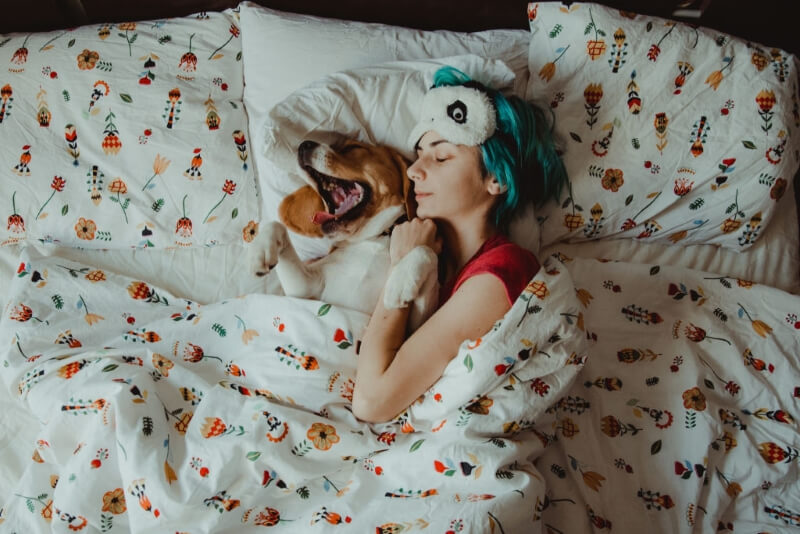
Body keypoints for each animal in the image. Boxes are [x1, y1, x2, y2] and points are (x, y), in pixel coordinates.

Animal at [250, 138, 438, 330]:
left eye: (353, 147)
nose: (304, 144)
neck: (376, 238)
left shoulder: (413, 326)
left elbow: (428, 252)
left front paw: (400, 281)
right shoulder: (304, 289)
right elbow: (276, 225)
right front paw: (259, 253)